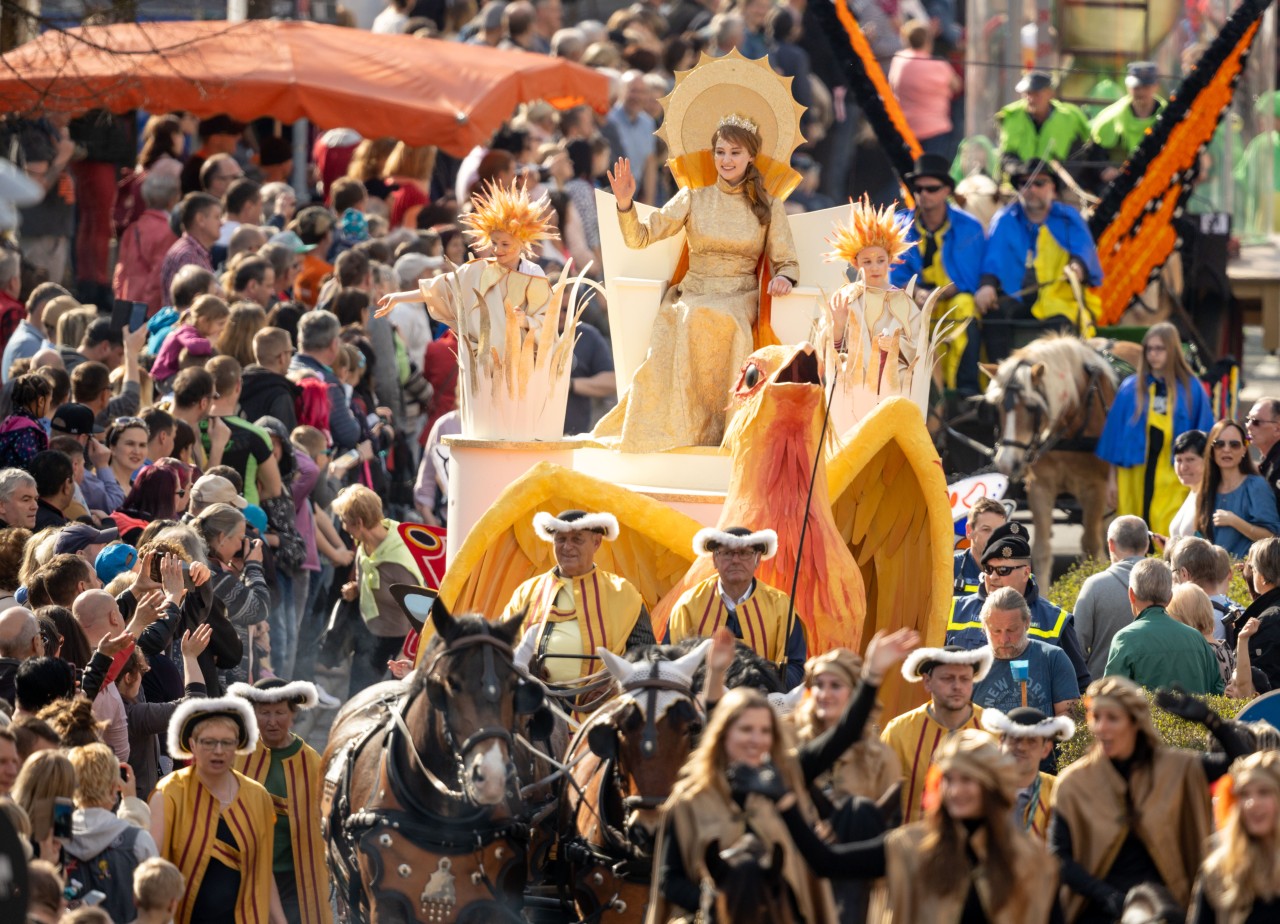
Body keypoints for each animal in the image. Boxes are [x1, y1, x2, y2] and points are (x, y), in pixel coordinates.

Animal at [977, 330, 1141, 575]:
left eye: (1032, 407)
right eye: (998, 406)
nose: (1006, 462)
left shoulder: (1096, 489)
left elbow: (1092, 547)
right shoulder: (1040, 488)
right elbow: (1041, 551)